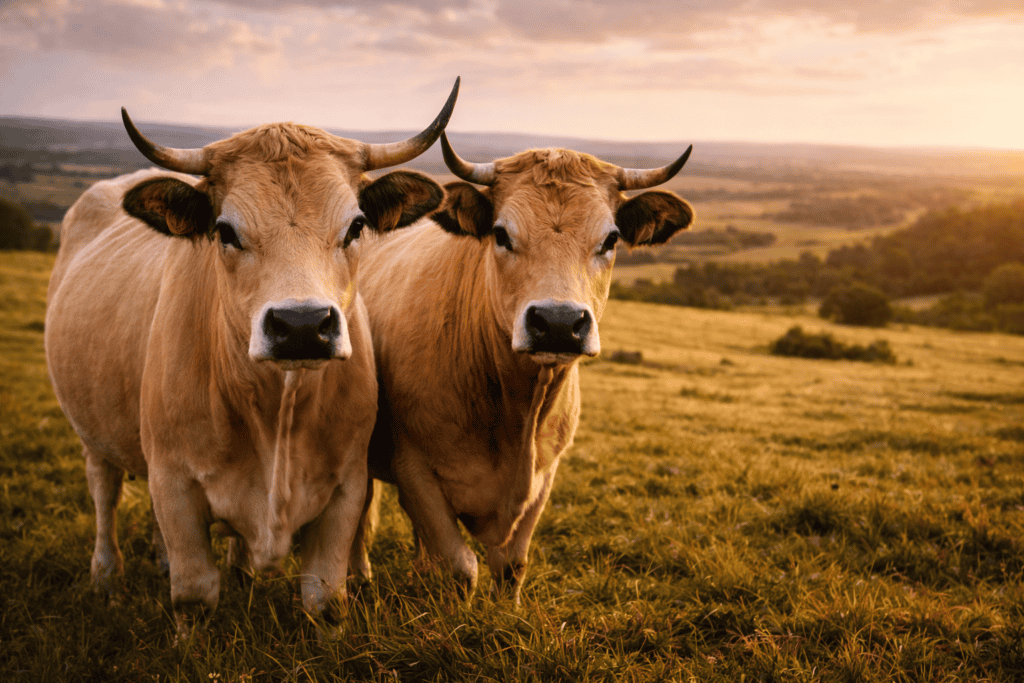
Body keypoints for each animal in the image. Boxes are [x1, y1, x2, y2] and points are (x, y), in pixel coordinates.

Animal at [44, 79, 459, 630]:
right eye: (225, 231)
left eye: (355, 227)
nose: (302, 326)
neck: (276, 412)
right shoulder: (174, 483)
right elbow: (194, 595)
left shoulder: (346, 488)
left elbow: (325, 599)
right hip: (93, 435)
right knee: (104, 493)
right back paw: (107, 577)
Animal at [355, 131, 694, 602]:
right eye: (501, 233)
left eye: (610, 240)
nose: (558, 322)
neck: (515, 411)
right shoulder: (414, 468)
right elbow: (460, 567)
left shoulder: (544, 475)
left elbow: (511, 566)